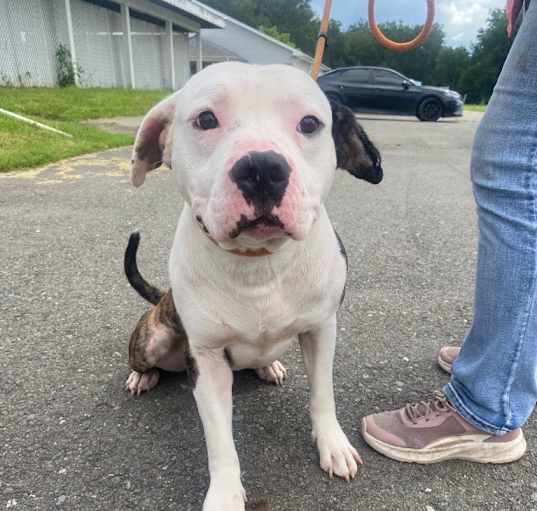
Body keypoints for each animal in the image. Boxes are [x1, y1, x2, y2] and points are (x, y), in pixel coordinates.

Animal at [123, 63, 384, 511]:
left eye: (310, 124)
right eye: (205, 119)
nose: (262, 168)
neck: (258, 262)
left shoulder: (322, 330)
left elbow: (323, 395)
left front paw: (332, 445)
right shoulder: (207, 360)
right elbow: (220, 442)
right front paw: (225, 495)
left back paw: (268, 366)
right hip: (155, 338)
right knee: (147, 358)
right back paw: (142, 377)